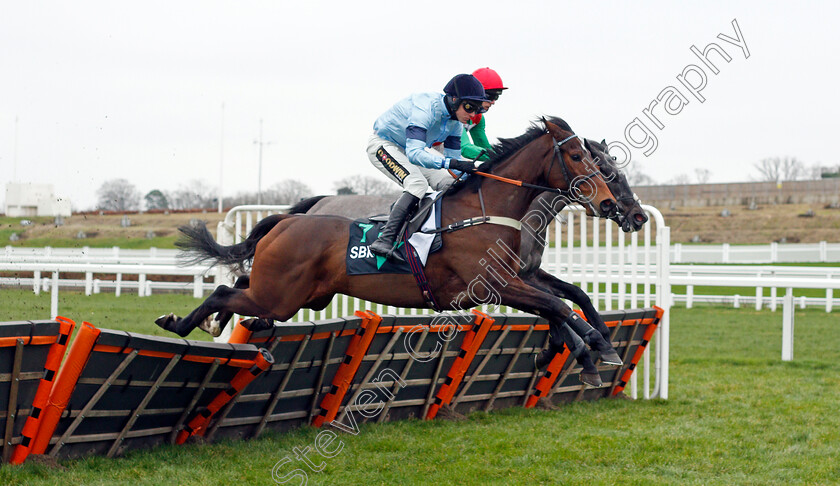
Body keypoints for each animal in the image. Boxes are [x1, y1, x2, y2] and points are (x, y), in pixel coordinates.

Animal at [158, 117, 620, 384]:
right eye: (576, 156)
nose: (609, 205)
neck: (485, 209)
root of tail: (287, 221)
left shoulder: (513, 280)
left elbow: (564, 303)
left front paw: (589, 348)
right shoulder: (495, 284)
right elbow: (558, 307)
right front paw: (595, 348)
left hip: (297, 295)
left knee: (238, 283)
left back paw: (216, 324)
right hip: (281, 295)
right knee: (225, 291)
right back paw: (181, 322)